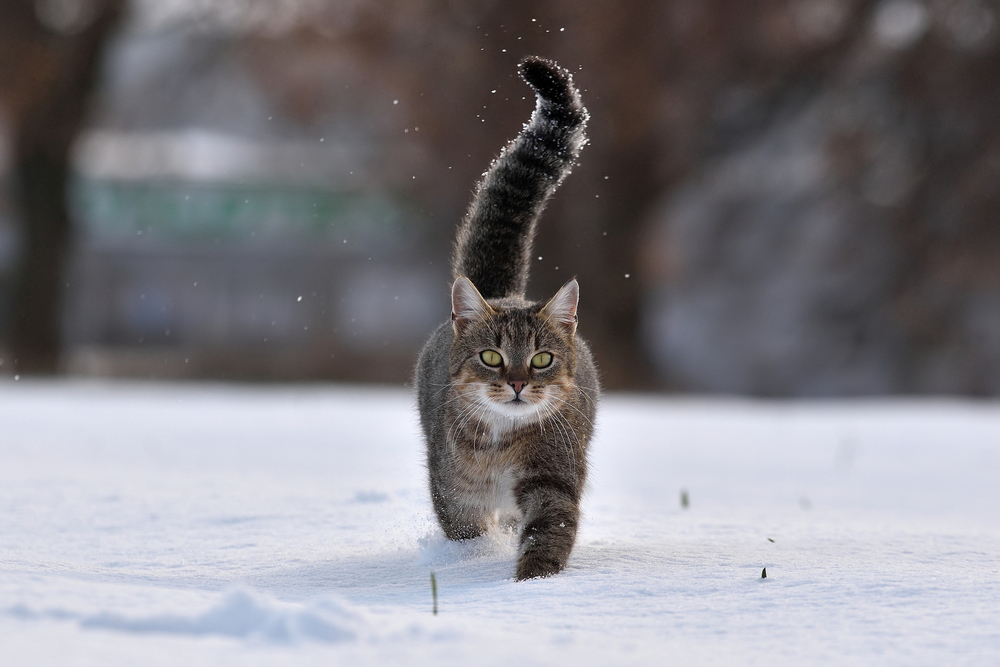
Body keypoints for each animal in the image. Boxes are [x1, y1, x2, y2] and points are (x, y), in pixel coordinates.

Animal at [416, 56, 596, 580]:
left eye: (541, 360)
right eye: (492, 357)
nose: (517, 383)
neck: (500, 443)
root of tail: (504, 292)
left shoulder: (553, 477)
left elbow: (548, 529)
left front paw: (531, 582)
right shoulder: (453, 493)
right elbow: (466, 534)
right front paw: (472, 564)